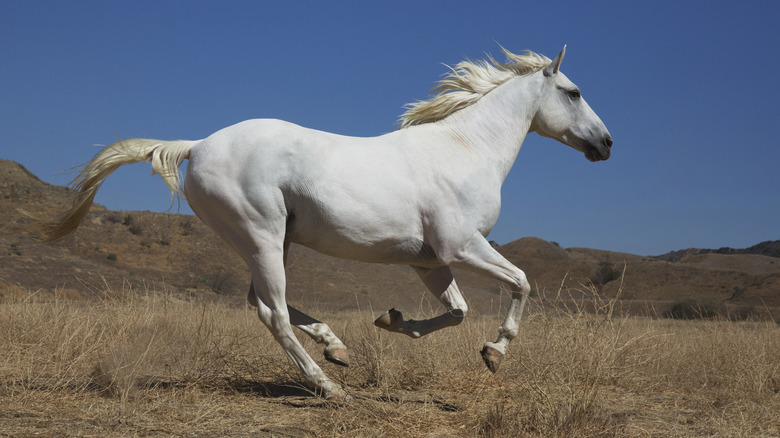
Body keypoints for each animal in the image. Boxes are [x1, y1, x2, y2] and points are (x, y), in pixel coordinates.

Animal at [35, 45, 608, 400]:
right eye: (574, 92)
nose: (606, 144)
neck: (465, 149)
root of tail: (196, 146)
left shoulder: (430, 261)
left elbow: (457, 312)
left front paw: (393, 322)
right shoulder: (461, 246)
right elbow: (521, 283)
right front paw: (494, 352)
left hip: (271, 241)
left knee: (262, 302)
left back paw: (336, 348)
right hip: (262, 236)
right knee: (272, 313)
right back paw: (328, 386)